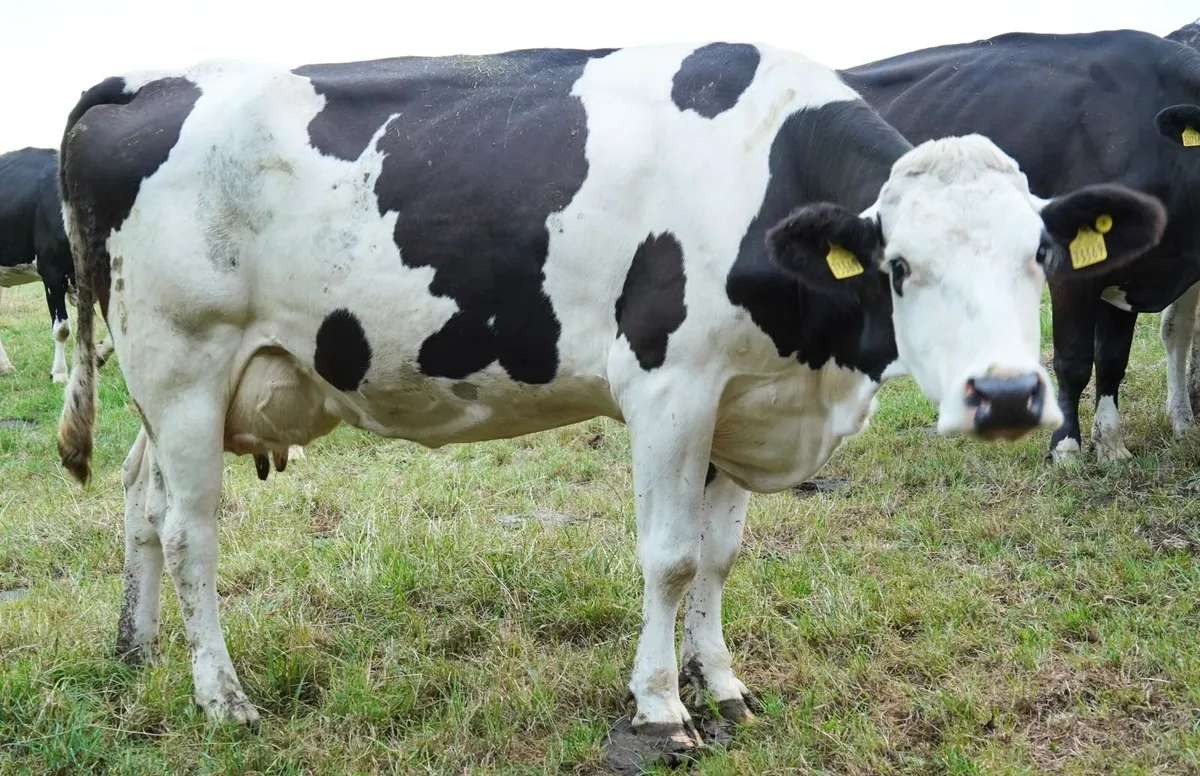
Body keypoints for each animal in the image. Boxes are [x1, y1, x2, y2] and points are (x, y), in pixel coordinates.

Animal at [55, 44, 1164, 751]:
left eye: (1038, 255)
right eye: (898, 265)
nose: (1008, 394)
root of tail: (148, 79)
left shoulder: (741, 395)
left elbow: (719, 556)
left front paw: (725, 686)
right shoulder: (671, 386)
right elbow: (669, 558)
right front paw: (662, 708)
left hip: (180, 389)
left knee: (139, 496)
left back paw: (135, 647)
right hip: (183, 363)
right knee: (192, 532)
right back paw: (221, 696)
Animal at [842, 28, 1200, 463]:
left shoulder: (1129, 272)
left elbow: (1113, 360)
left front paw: (1111, 444)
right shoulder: (1070, 272)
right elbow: (1074, 361)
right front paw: (1065, 447)